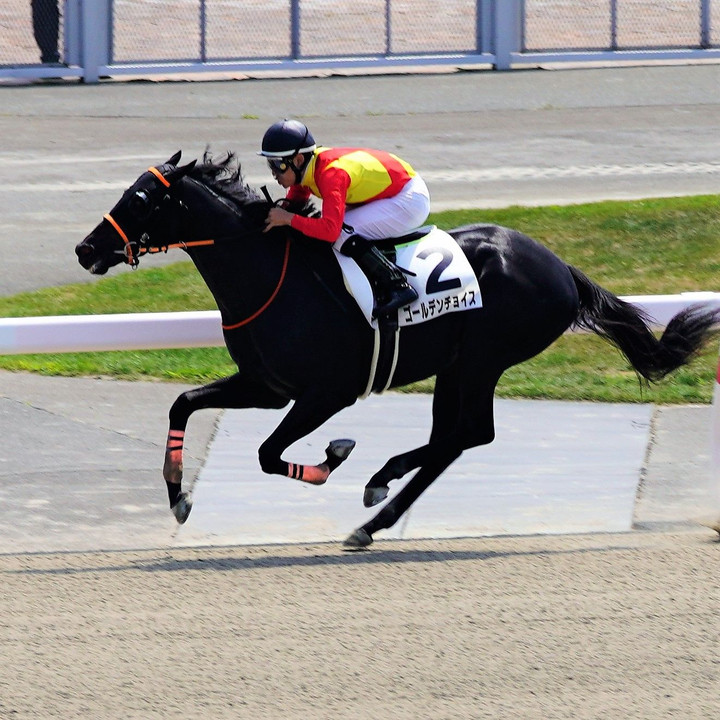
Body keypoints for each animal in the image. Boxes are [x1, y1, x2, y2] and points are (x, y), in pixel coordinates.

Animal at [76, 150, 716, 544]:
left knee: (467, 433)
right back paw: (380, 495)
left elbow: (267, 453)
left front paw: (333, 457)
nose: (85, 249)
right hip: (457, 364)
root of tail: (560, 268)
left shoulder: (326, 392)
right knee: (456, 436)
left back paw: (376, 502)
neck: (269, 277)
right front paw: (177, 496)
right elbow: (183, 403)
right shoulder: (266, 385)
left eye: (140, 199)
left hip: (483, 358)